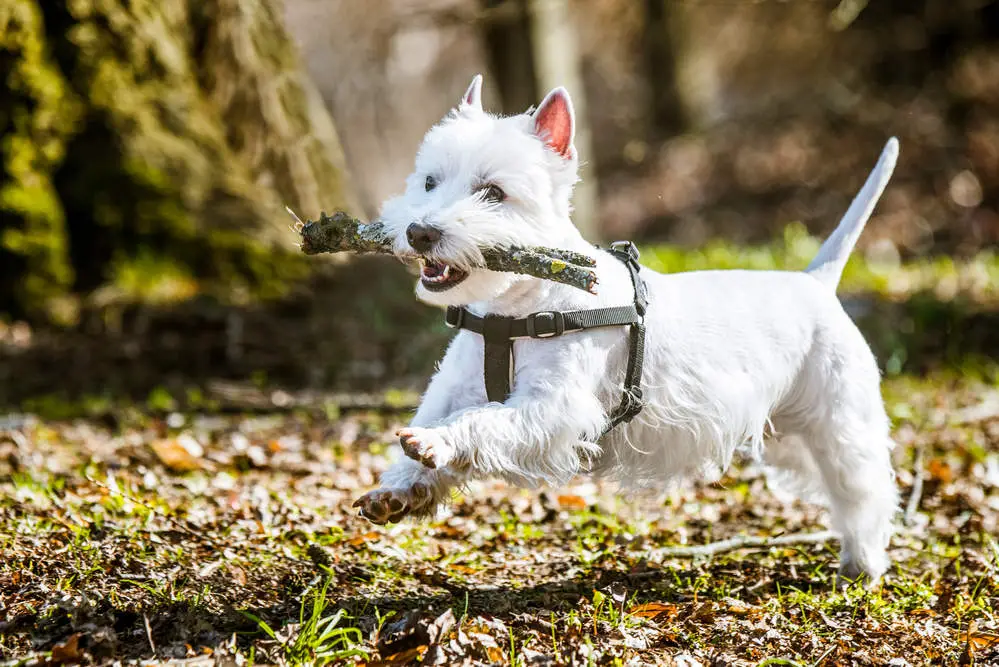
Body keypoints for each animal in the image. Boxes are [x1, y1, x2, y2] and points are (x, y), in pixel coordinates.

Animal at [356, 74, 904, 584]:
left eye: (493, 192)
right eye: (430, 181)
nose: (419, 232)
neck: (513, 310)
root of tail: (817, 282)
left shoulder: (554, 410)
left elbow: (483, 422)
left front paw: (435, 445)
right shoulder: (454, 387)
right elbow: (438, 419)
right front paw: (399, 489)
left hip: (839, 420)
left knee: (865, 488)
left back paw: (863, 564)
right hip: (786, 432)